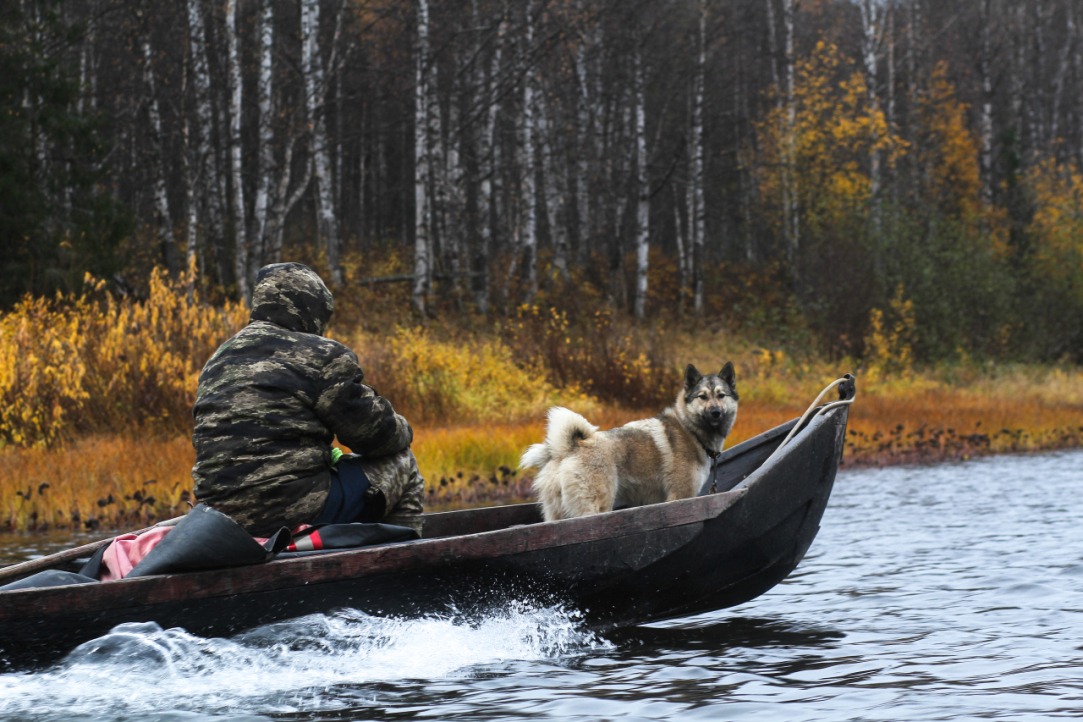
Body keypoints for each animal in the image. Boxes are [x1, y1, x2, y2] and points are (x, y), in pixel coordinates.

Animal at [519, 363, 740, 521]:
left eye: (721, 395)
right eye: (702, 397)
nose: (715, 412)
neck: (690, 430)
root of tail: (568, 449)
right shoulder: (681, 496)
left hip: (556, 513)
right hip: (596, 508)